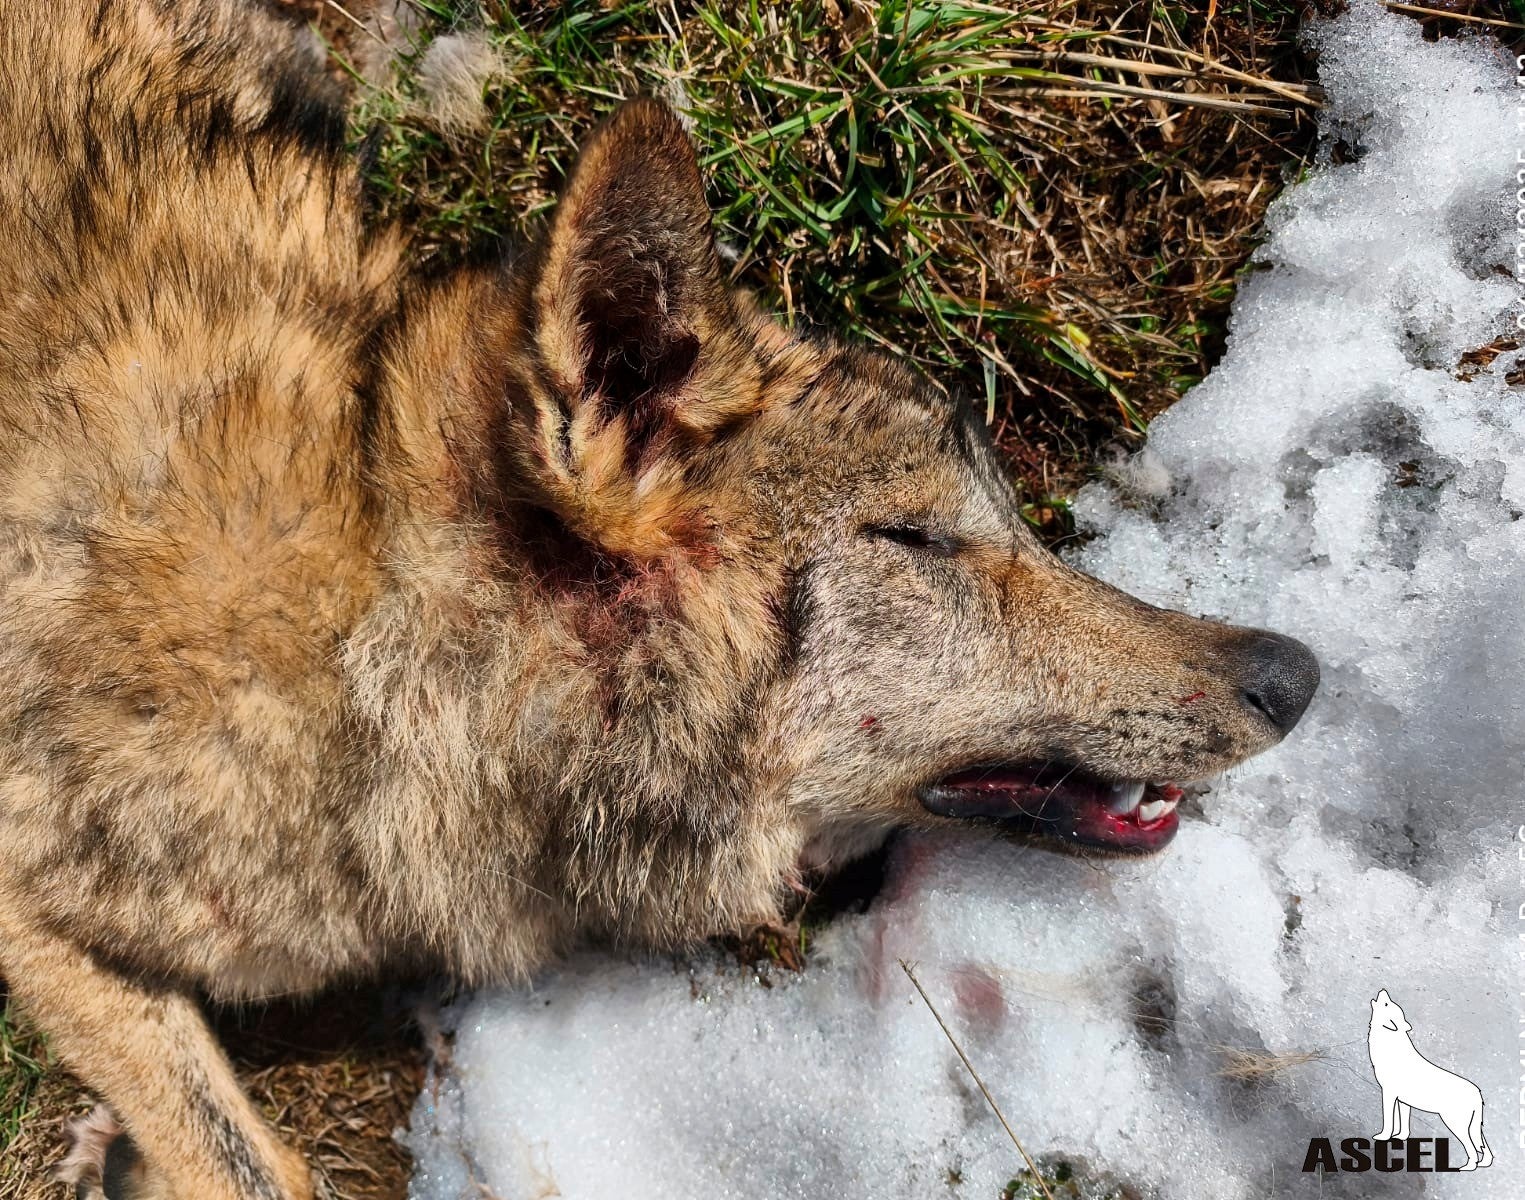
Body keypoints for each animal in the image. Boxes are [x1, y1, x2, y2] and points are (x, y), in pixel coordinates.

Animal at [1368, 990, 1492, 1170]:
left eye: (1386, 1004)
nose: (1383, 990)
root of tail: (1477, 1092)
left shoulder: (1388, 1095)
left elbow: (1389, 1121)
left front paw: (1383, 1137)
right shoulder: (1403, 1102)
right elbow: (1402, 1123)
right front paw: (1400, 1137)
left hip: (1455, 1124)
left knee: (1472, 1148)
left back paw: (1468, 1167)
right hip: (1474, 1126)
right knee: (1483, 1146)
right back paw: (1484, 1163)